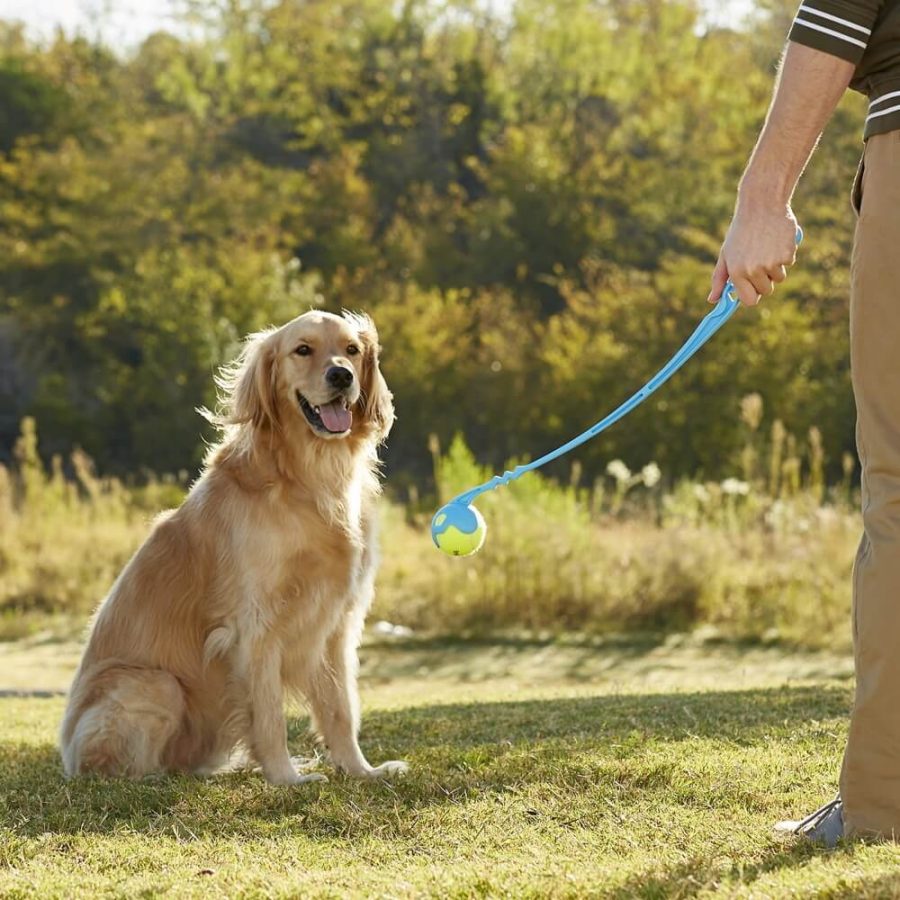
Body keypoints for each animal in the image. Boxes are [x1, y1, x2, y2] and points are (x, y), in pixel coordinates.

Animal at [59, 312, 404, 784]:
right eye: (303, 350)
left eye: (352, 350)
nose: (341, 376)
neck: (311, 480)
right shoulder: (255, 626)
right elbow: (270, 715)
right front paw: (286, 780)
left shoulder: (336, 622)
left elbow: (341, 709)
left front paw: (361, 770)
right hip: (155, 684)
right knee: (119, 766)